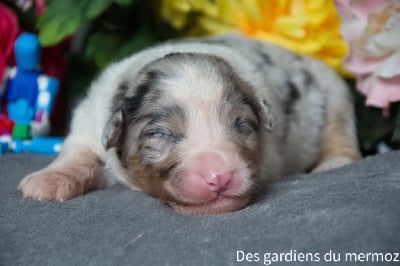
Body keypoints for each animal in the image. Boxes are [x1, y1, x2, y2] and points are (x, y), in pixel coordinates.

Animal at [18, 33, 360, 216]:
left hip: (336, 95)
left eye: (241, 124)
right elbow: (77, 153)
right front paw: (45, 183)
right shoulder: (90, 122)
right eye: (160, 134)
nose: (219, 178)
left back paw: (335, 162)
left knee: (339, 131)